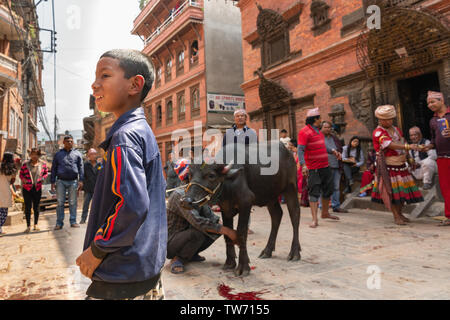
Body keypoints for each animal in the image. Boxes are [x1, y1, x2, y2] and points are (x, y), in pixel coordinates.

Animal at [181, 141, 300, 276]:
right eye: (190, 175)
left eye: (211, 175)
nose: (186, 201)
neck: (228, 184)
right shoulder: (225, 207)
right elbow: (228, 235)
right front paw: (229, 263)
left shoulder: (246, 202)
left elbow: (241, 233)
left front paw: (243, 267)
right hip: (271, 196)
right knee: (276, 215)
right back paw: (267, 251)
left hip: (291, 188)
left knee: (295, 215)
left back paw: (295, 253)